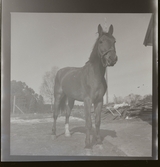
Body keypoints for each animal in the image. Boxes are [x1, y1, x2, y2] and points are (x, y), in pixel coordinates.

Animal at [52, 23, 117, 154]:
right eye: (101, 41)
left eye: (114, 41)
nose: (112, 59)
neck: (95, 75)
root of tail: (61, 72)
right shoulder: (87, 101)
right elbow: (89, 123)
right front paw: (88, 145)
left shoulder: (99, 101)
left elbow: (97, 122)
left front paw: (99, 143)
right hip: (58, 96)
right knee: (55, 114)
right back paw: (53, 134)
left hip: (71, 99)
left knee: (67, 113)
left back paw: (67, 133)